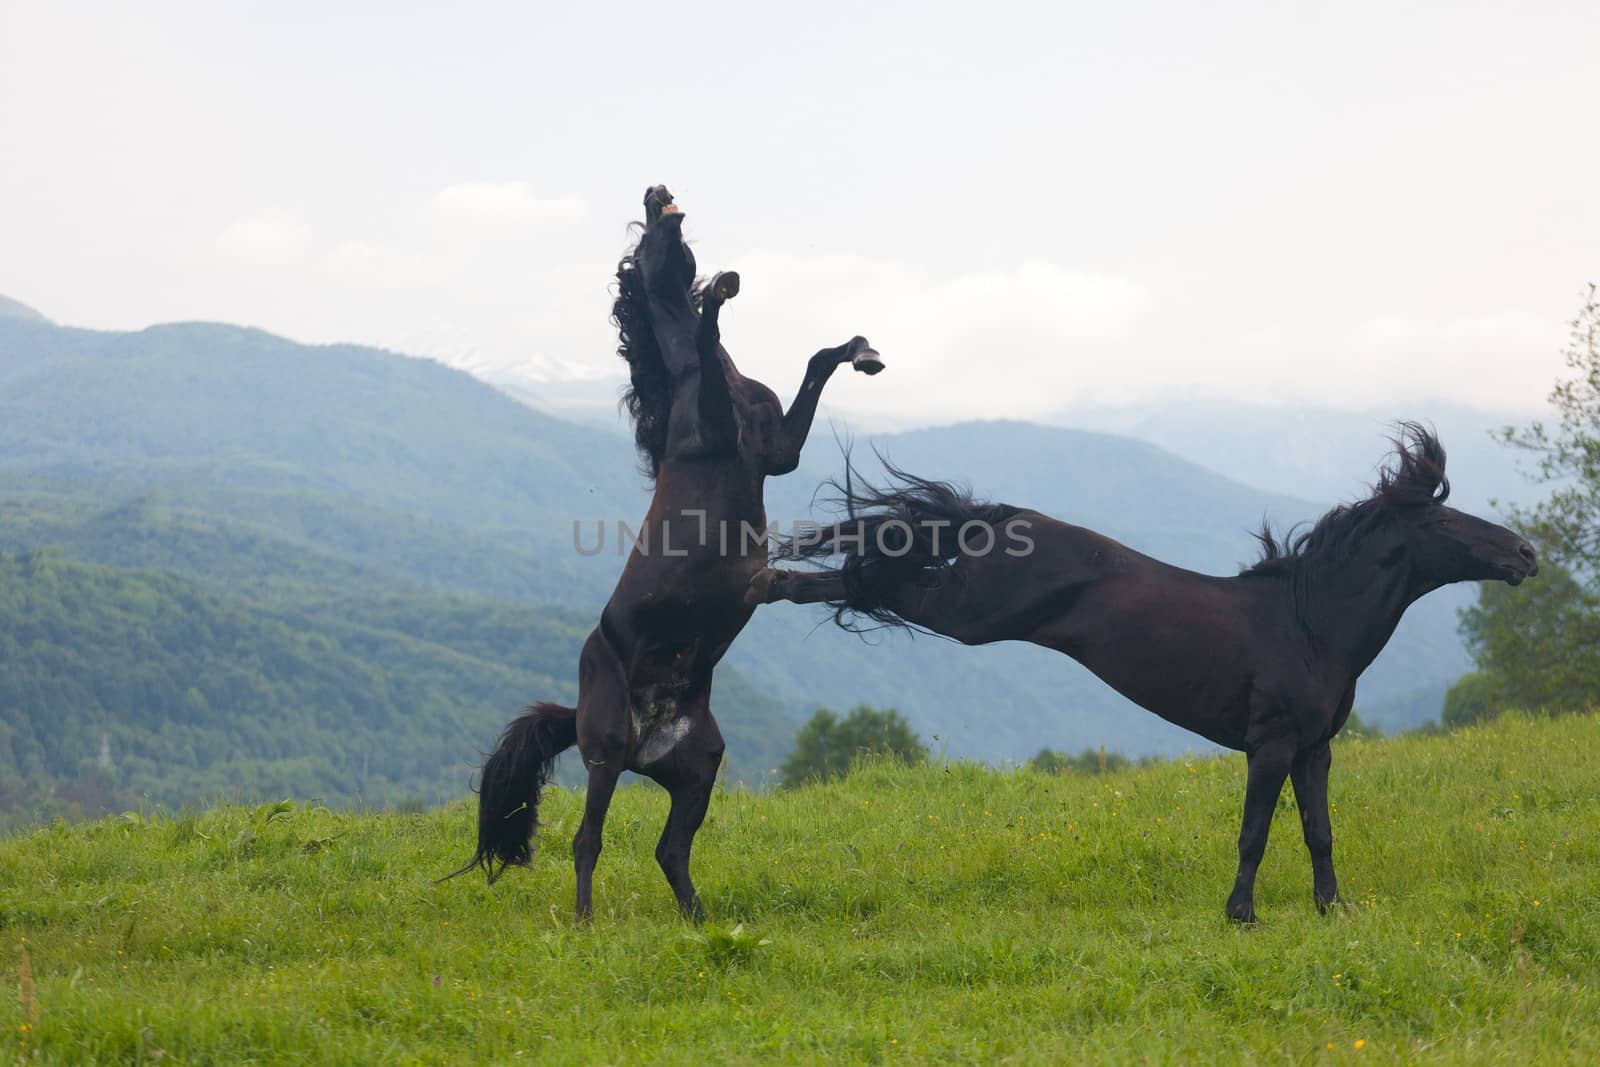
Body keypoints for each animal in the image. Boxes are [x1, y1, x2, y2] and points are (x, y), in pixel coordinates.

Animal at [444, 185, 883, 921]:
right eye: (647, 242)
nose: (658, 192)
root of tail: (641, 726)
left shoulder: (778, 451)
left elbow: (819, 361)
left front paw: (865, 350)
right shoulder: (728, 427)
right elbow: (715, 336)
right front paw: (720, 296)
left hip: (696, 767)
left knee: (669, 850)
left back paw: (698, 923)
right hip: (605, 753)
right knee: (587, 840)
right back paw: (586, 925)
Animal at [748, 428, 1536, 921]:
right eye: (1447, 521)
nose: (1525, 553)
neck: (1308, 624)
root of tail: (1001, 516)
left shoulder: (1315, 749)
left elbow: (1320, 832)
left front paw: (1332, 909)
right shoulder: (1271, 745)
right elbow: (1254, 834)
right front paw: (1240, 915)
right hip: (966, 610)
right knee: (870, 580)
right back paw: (772, 580)